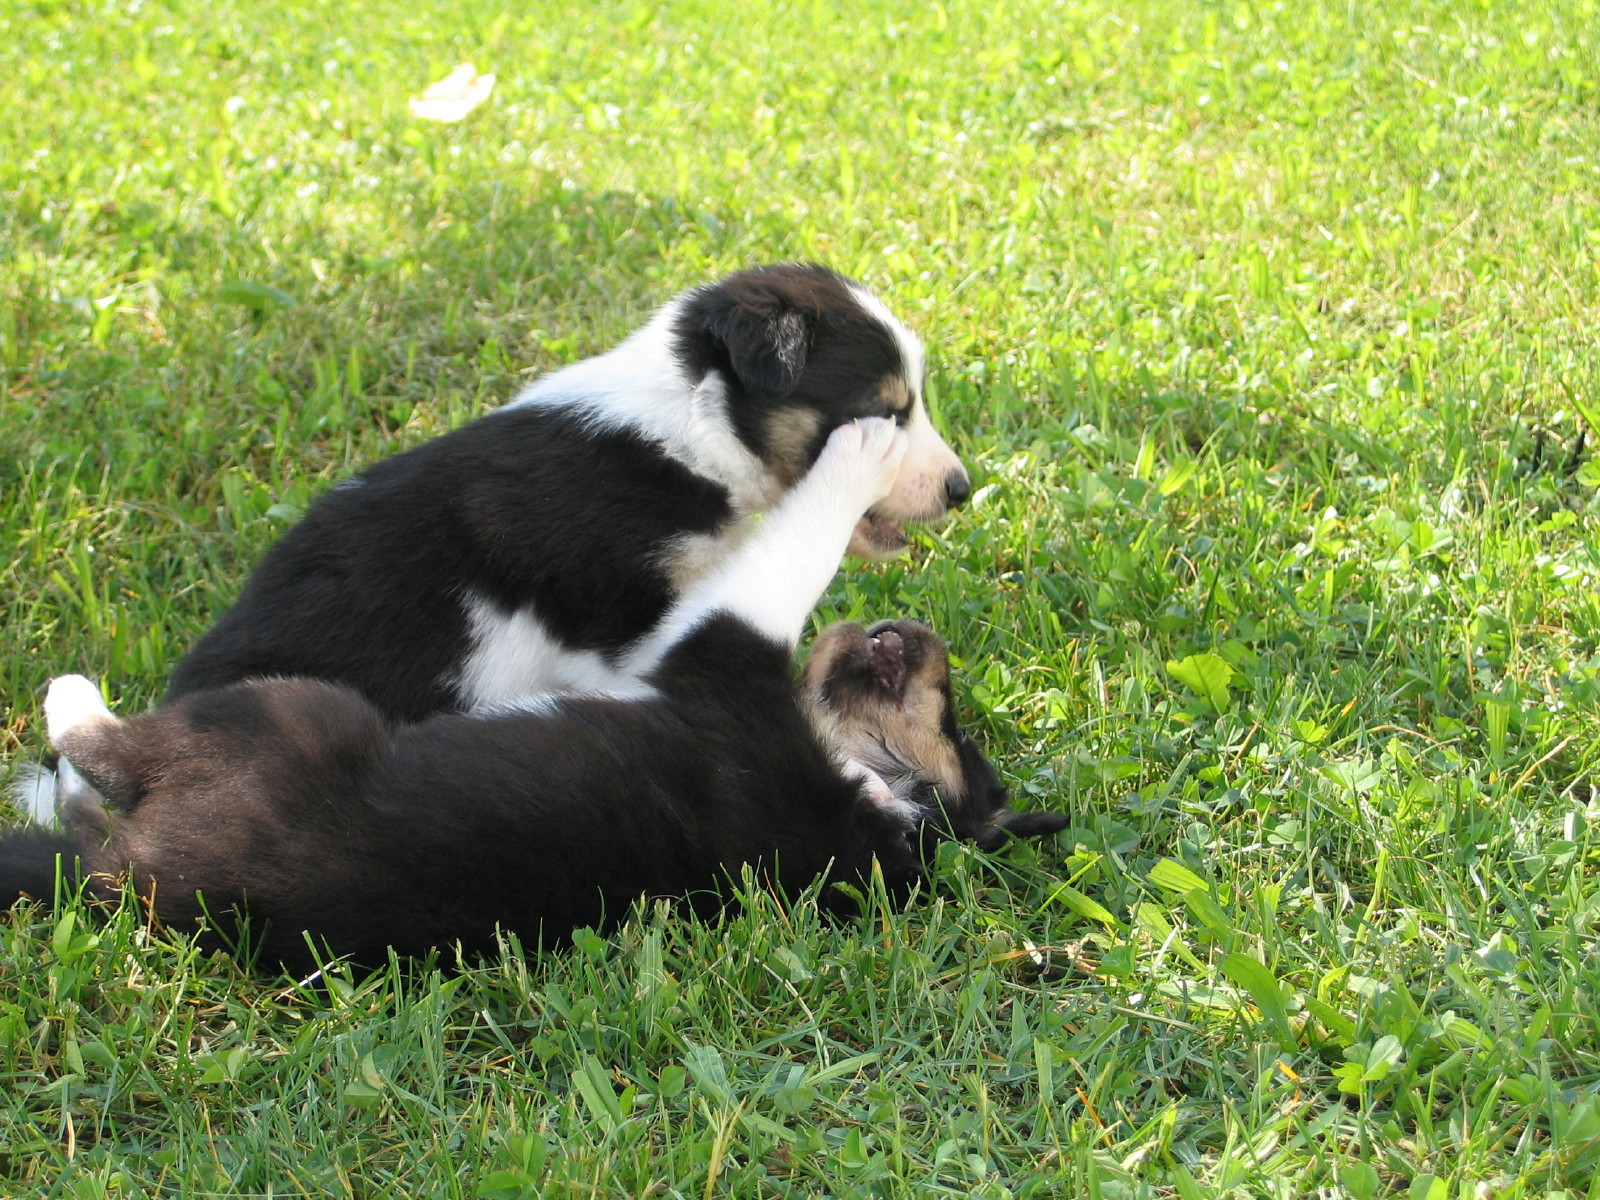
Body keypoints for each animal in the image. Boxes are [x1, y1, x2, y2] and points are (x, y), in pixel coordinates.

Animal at [3, 421, 1064, 972]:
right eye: (960, 722)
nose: (917, 633)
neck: (877, 802)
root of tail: (125, 876)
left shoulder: (722, 651)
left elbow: (795, 551)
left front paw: (863, 450)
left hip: (281, 717)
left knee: (104, 751)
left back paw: (68, 700)